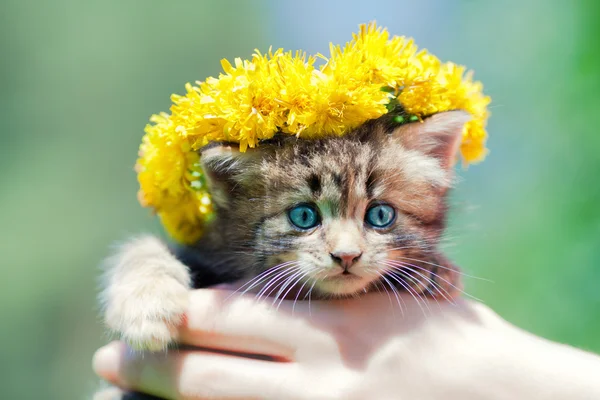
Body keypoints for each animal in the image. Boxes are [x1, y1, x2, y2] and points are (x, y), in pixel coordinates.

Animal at [101, 109, 468, 396]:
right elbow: (144, 248)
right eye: (303, 216)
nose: (347, 256)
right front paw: (147, 307)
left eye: (380, 215)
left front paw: (434, 270)